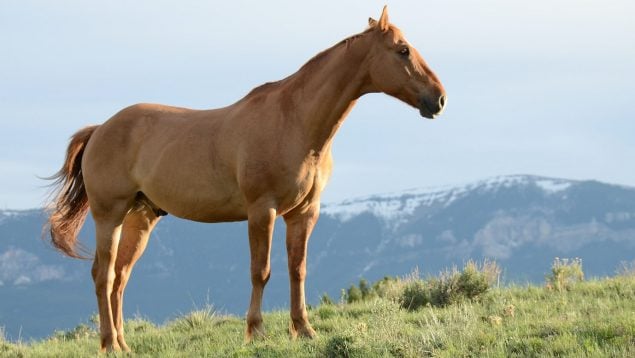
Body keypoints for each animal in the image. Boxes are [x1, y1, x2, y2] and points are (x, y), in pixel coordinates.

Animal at [46, 6, 448, 352]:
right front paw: (255, 332)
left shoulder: (304, 213)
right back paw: (109, 344)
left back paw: (123, 344)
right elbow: (261, 271)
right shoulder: (262, 210)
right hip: (109, 215)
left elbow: (298, 269)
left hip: (140, 218)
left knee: (120, 278)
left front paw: (304, 330)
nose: (439, 99)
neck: (295, 122)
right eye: (402, 50)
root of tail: (101, 129)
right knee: (103, 275)